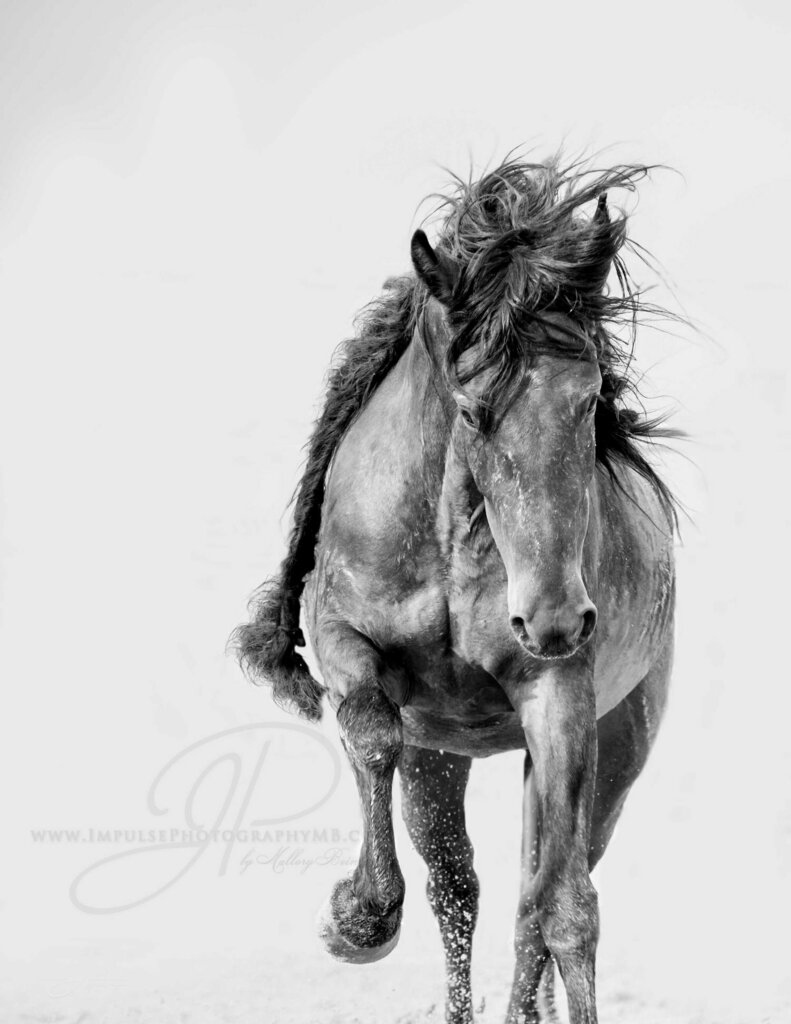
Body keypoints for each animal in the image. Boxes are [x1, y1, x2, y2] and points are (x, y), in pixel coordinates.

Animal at [233, 156, 679, 1024]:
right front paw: (356, 920)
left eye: (588, 399)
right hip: (439, 760)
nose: (553, 621)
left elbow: (565, 910)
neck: (451, 547)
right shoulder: (344, 645)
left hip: (610, 749)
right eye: (471, 410)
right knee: (457, 886)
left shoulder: (559, 699)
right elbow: (372, 734)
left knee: (538, 894)